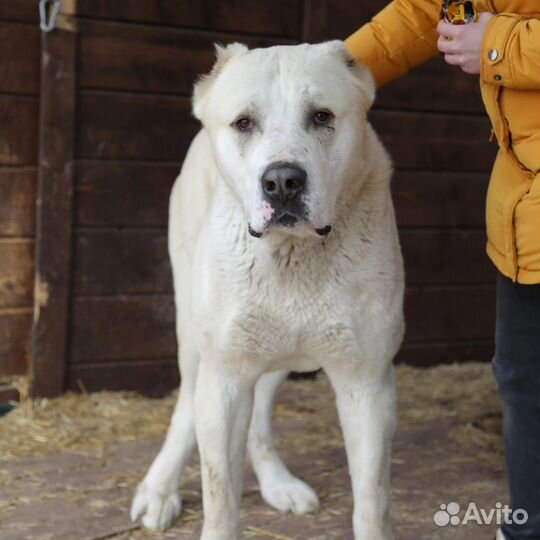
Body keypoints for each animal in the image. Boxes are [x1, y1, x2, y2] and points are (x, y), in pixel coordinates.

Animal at [131, 39, 402, 540]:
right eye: (243, 123)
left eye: (321, 116)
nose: (282, 182)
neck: (292, 256)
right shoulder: (223, 377)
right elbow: (220, 497)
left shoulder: (367, 384)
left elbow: (373, 502)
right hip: (194, 337)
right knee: (186, 407)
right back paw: (159, 490)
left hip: (277, 353)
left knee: (258, 414)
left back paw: (278, 484)